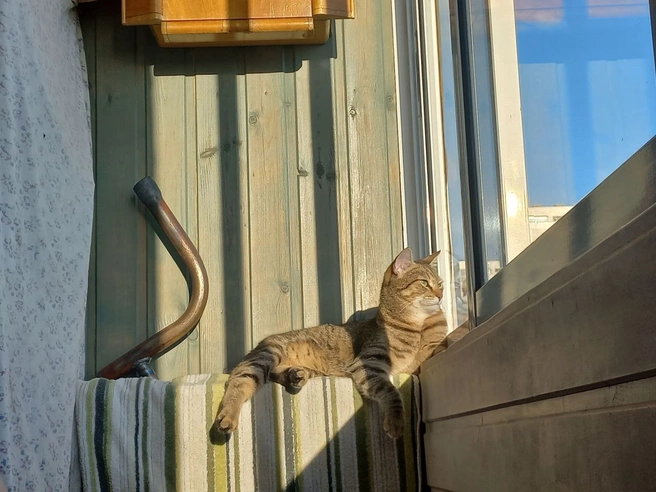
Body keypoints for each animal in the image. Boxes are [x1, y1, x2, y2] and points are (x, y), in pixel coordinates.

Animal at [213, 248, 448, 440]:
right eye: (424, 283)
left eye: (441, 284)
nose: (441, 294)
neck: (417, 326)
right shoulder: (369, 363)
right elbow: (391, 392)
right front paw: (397, 422)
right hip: (266, 356)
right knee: (239, 382)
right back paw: (227, 417)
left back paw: (294, 375)